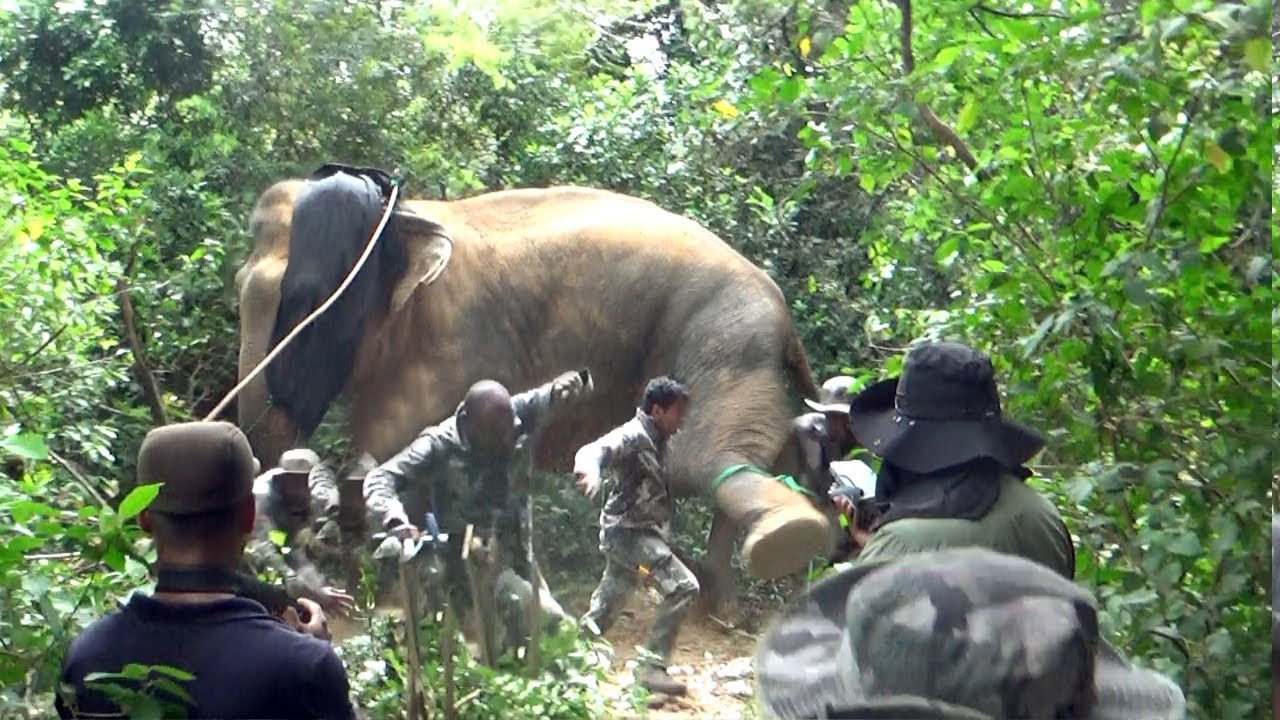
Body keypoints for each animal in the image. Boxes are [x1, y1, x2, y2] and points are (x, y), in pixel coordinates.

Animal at [233, 166, 840, 611]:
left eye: (310, 303)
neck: (408, 214)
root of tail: (784, 316)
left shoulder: (454, 338)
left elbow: (389, 444)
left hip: (722, 343)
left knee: (700, 458)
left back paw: (786, 539)